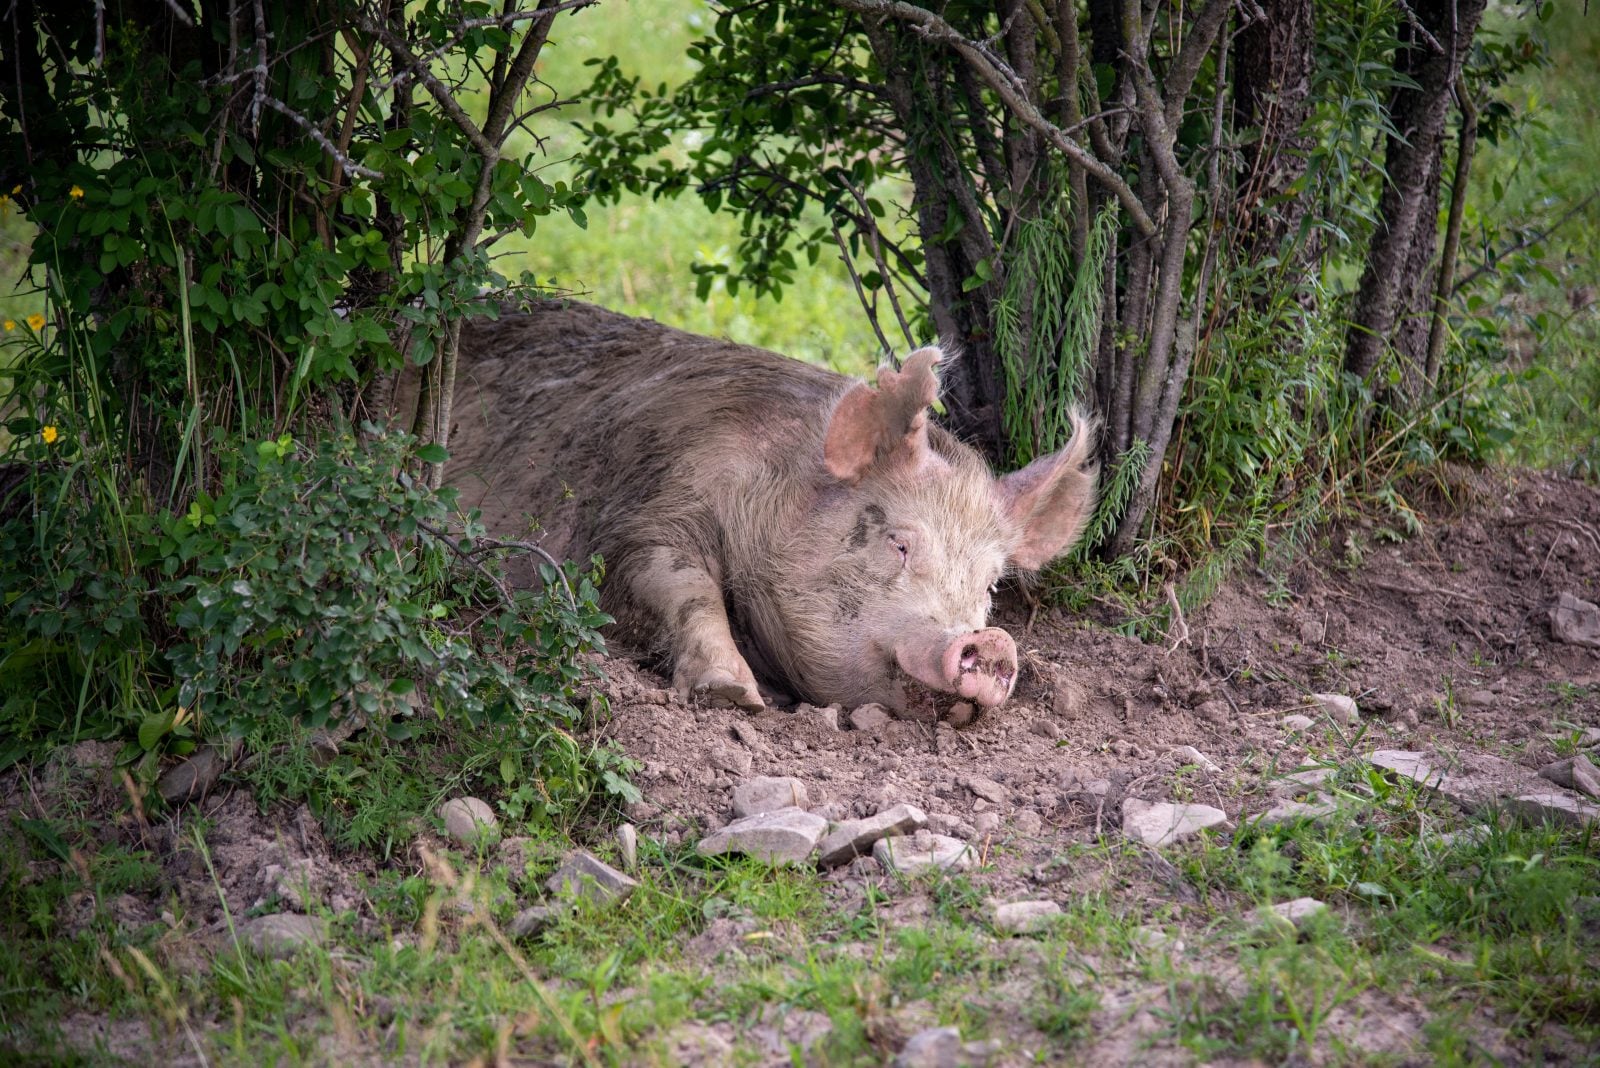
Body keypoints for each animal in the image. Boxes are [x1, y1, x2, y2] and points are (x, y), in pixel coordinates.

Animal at [438, 300, 1098, 716]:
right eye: (900, 544)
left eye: (990, 586)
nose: (993, 643)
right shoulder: (647, 509)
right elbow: (677, 581)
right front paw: (736, 697)